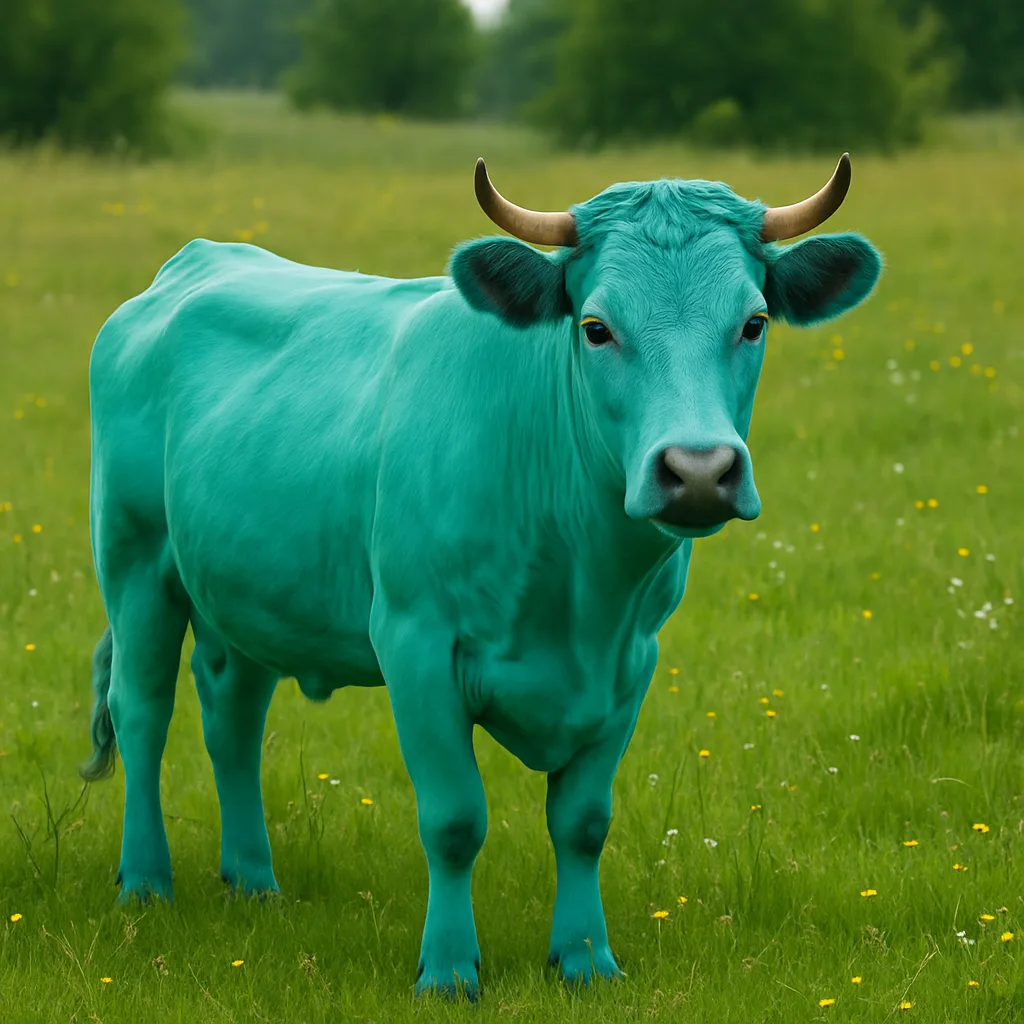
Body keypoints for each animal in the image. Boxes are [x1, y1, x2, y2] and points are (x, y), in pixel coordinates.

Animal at [80, 156, 881, 998]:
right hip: (134, 560)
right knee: (142, 712)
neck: (579, 586)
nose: (698, 472)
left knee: (232, 715)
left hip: (246, 594)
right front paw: (448, 968)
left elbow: (583, 822)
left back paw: (254, 882)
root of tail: (197, 261)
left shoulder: (630, 662)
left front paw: (586, 959)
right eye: (597, 327)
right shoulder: (415, 643)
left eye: (753, 322)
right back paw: (146, 881)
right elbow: (455, 819)